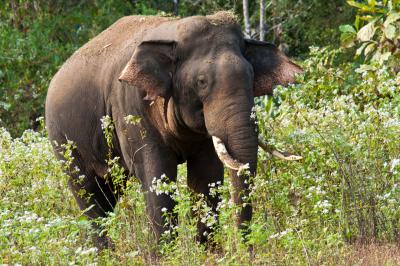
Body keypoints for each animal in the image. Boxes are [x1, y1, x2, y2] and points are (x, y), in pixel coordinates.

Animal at [45, 11, 302, 249]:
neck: (175, 31)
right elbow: (157, 175)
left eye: (251, 77)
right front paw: (164, 255)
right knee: (89, 194)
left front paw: (210, 254)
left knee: (108, 196)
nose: (247, 251)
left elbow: (207, 176)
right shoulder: (131, 106)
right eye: (201, 82)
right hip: (63, 140)